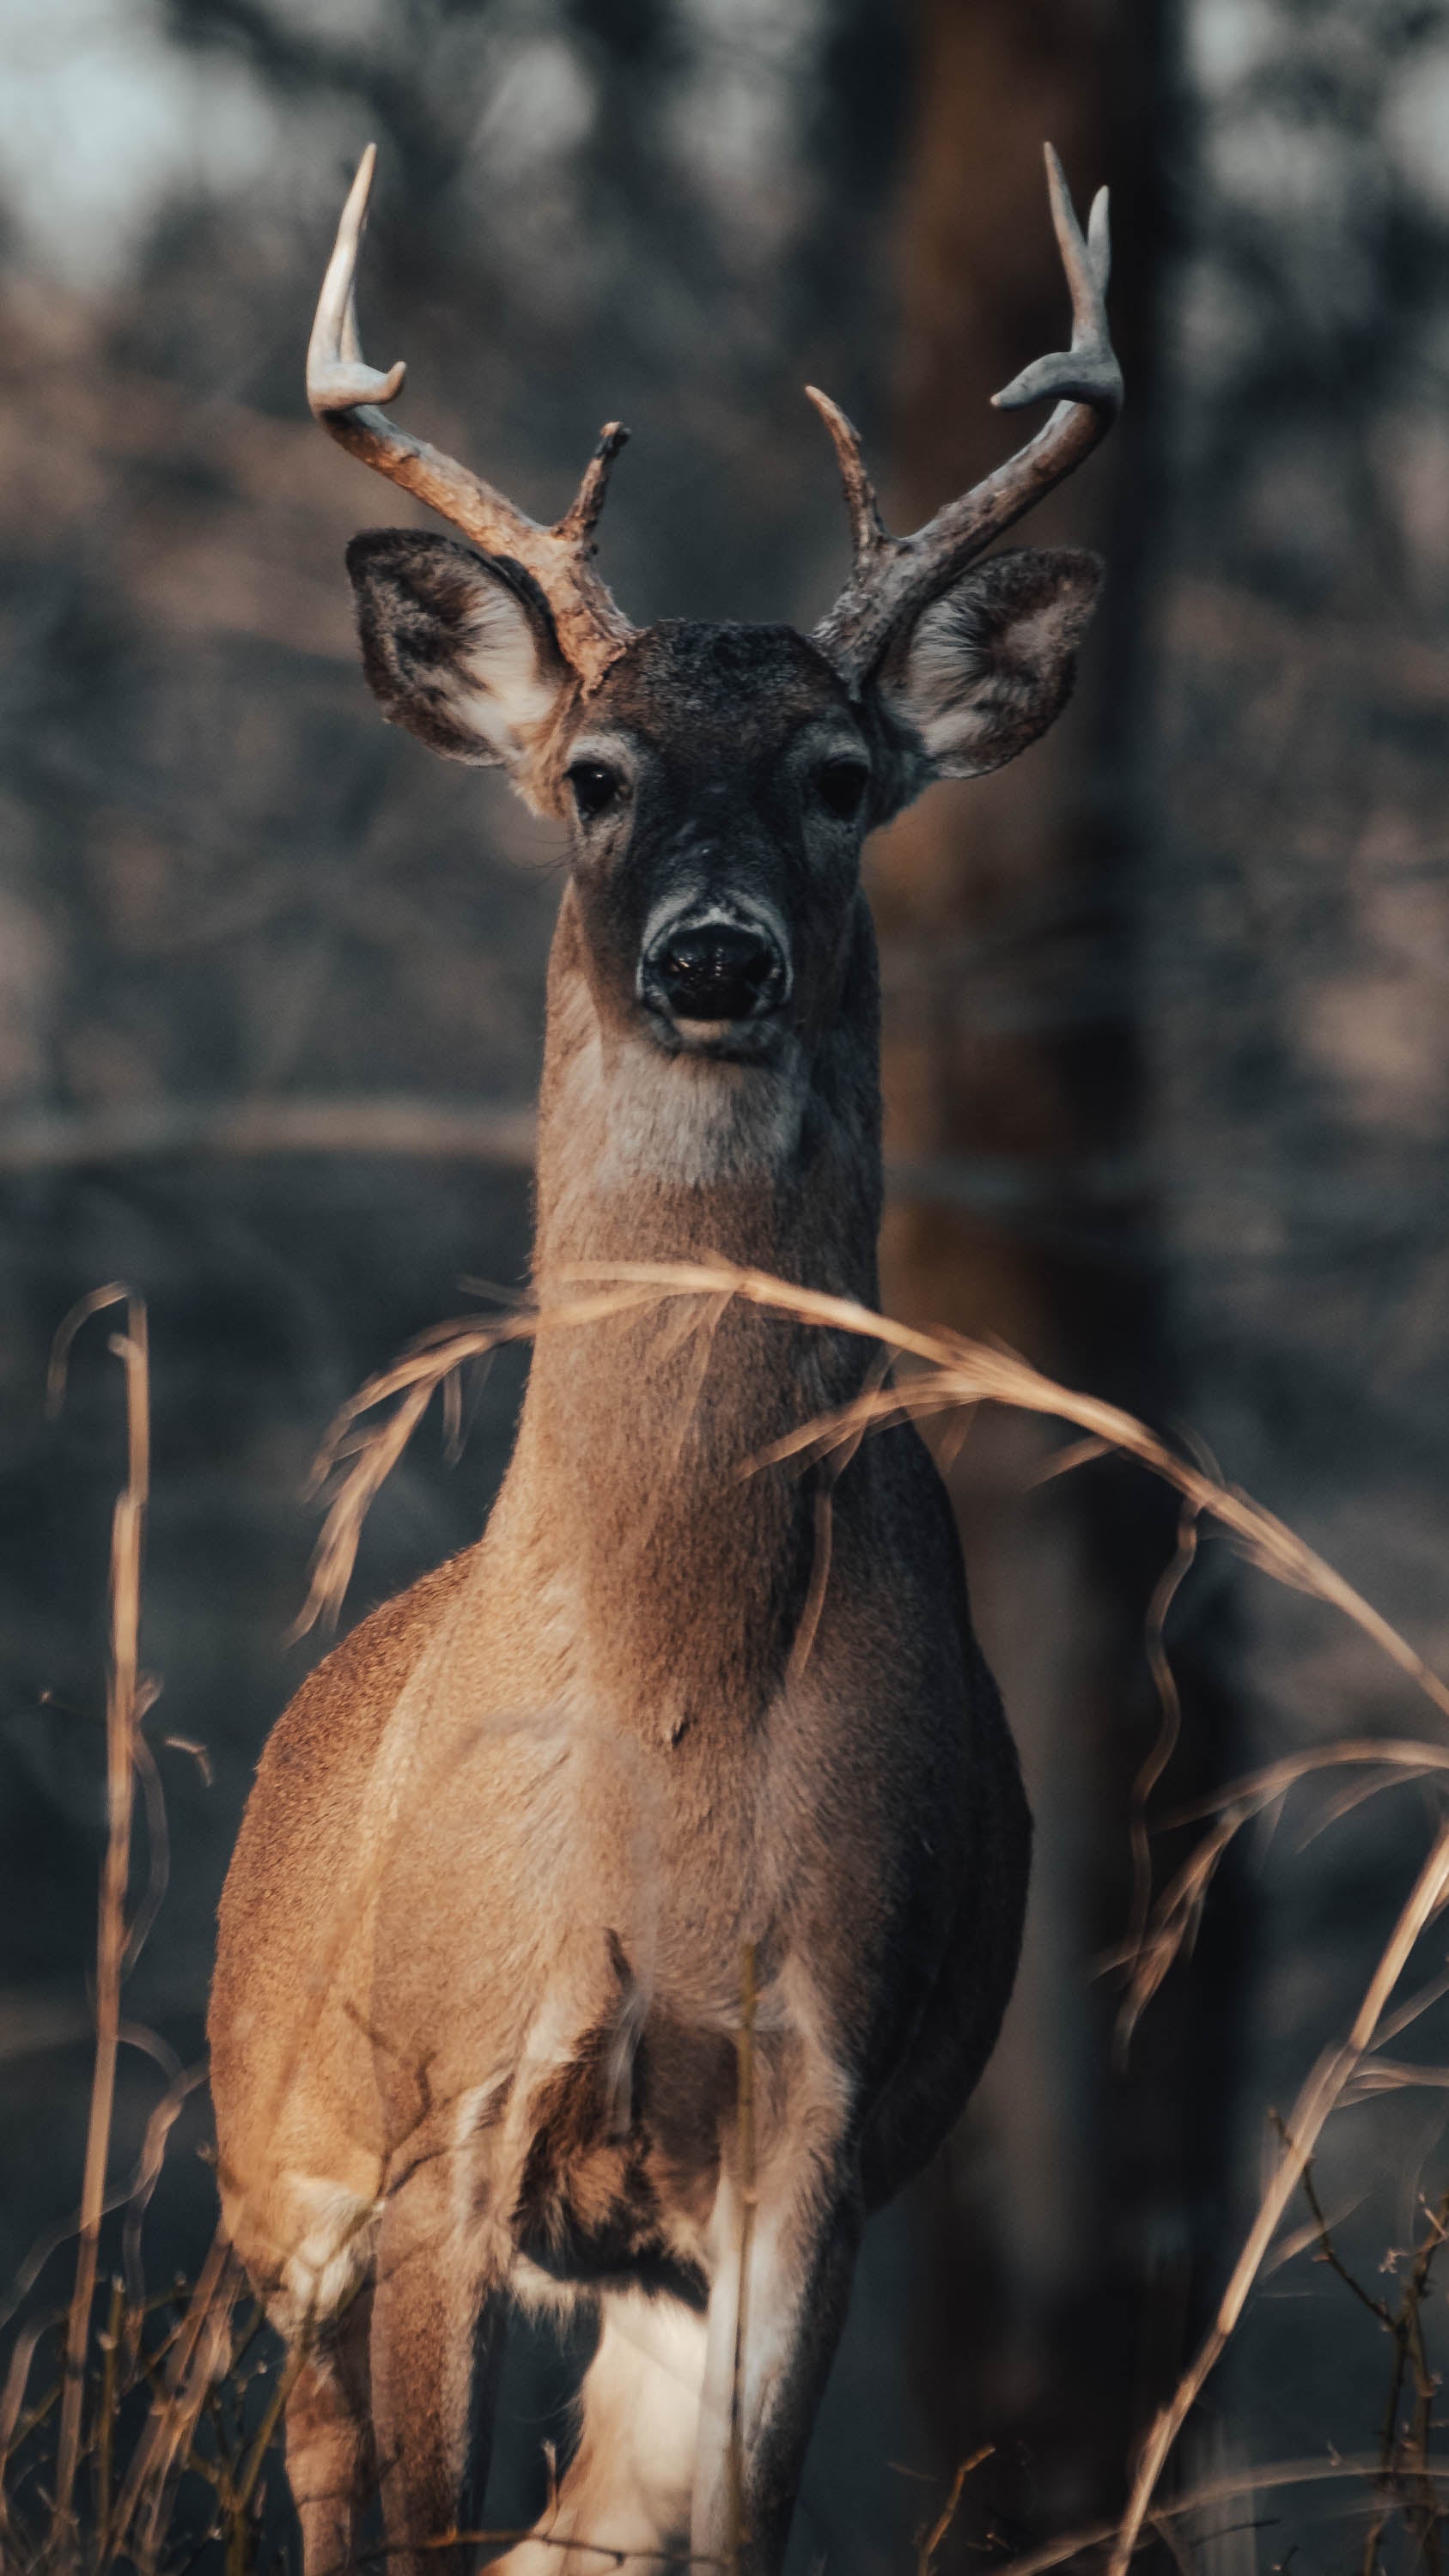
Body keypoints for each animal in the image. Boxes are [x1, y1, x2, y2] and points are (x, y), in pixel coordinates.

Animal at [211, 136, 1118, 2576]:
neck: (674, 1697)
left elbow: (738, 2522)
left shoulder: (817, 2114)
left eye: (841, 771)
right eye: (598, 773)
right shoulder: (446, 2108)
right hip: (279, 2202)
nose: (717, 956)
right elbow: (418, 2525)